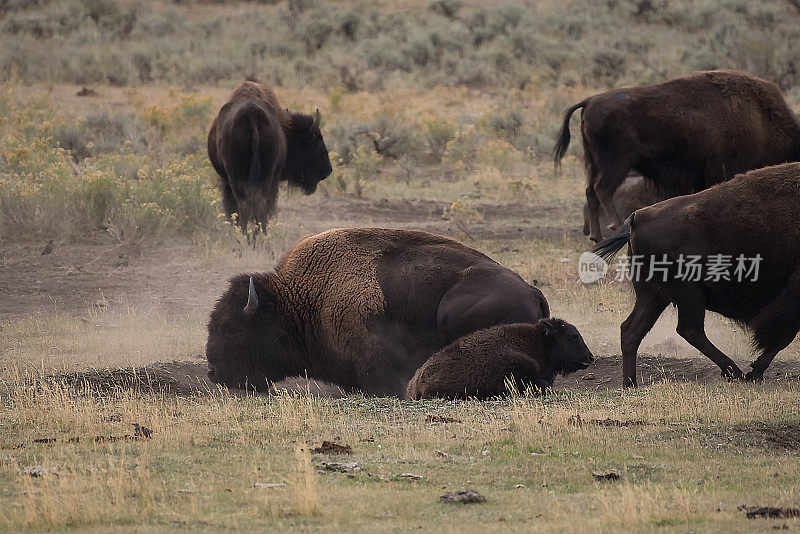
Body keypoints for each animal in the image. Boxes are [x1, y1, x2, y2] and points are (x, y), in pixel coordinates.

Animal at [552, 69, 800, 243]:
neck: (763, 121)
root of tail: (590, 101)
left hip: (595, 163)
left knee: (590, 192)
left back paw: (597, 236)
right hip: (616, 163)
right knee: (602, 189)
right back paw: (614, 225)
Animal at [592, 163, 800, 390]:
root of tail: (638, 216)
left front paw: (755, 372)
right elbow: (782, 337)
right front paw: (755, 372)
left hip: (654, 295)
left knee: (631, 330)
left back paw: (630, 384)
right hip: (686, 292)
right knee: (689, 329)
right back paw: (734, 372)